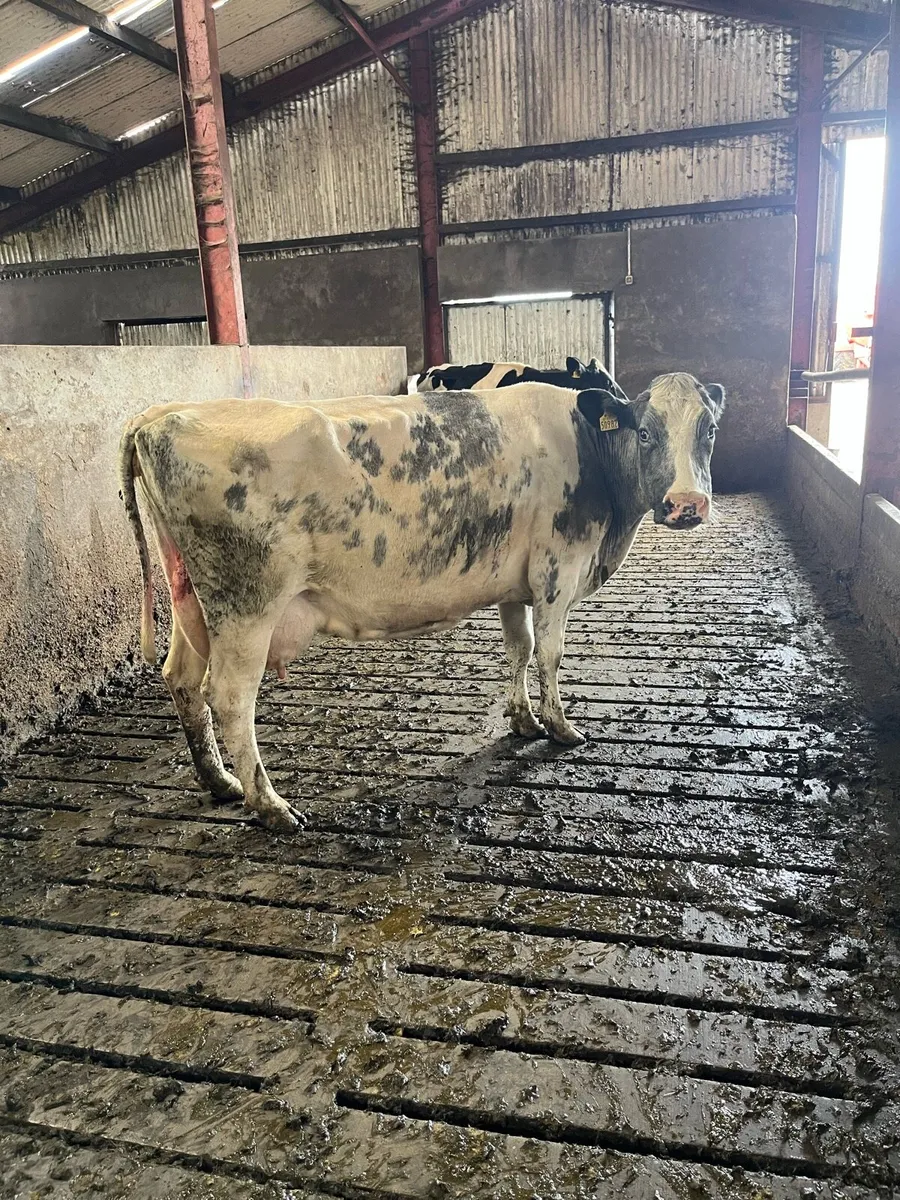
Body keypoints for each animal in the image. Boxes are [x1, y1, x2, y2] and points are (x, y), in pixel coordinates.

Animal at [120, 371, 724, 834]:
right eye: (644, 433)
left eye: (710, 430)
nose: (686, 504)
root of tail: (162, 414)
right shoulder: (558, 570)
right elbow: (550, 654)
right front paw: (560, 728)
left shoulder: (517, 584)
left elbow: (520, 648)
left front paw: (523, 719)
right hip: (247, 604)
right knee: (228, 696)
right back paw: (270, 805)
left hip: (192, 601)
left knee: (180, 677)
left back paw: (219, 781)